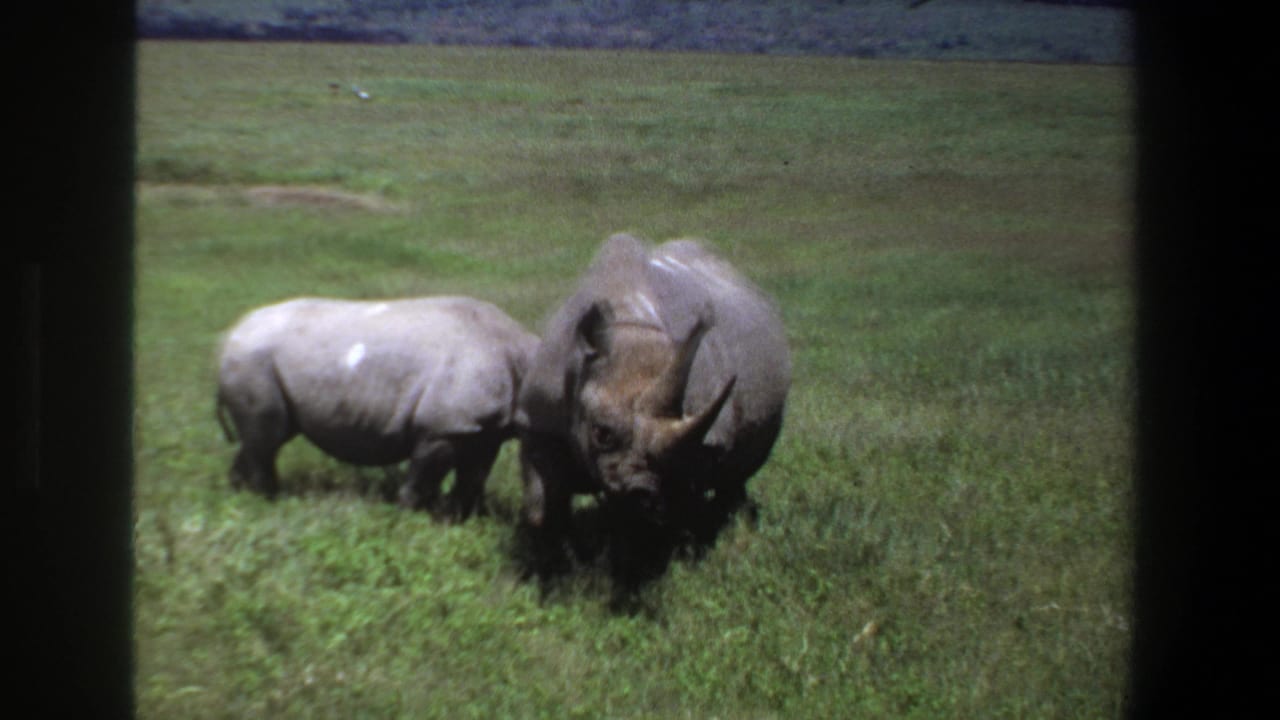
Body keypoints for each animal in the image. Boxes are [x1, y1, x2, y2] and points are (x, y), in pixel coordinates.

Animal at [216, 296, 538, 519]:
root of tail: (229, 337)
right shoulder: (444, 427)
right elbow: (421, 482)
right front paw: (411, 521)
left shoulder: (484, 431)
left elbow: (473, 479)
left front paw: (463, 520)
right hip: (251, 360)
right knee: (267, 439)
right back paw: (268, 501)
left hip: (253, 360)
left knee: (261, 440)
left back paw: (239, 497)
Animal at [516, 234, 790, 547]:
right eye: (601, 433)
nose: (642, 491)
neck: (631, 327)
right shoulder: (538, 418)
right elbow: (542, 509)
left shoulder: (697, 444)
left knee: (739, 469)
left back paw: (734, 522)